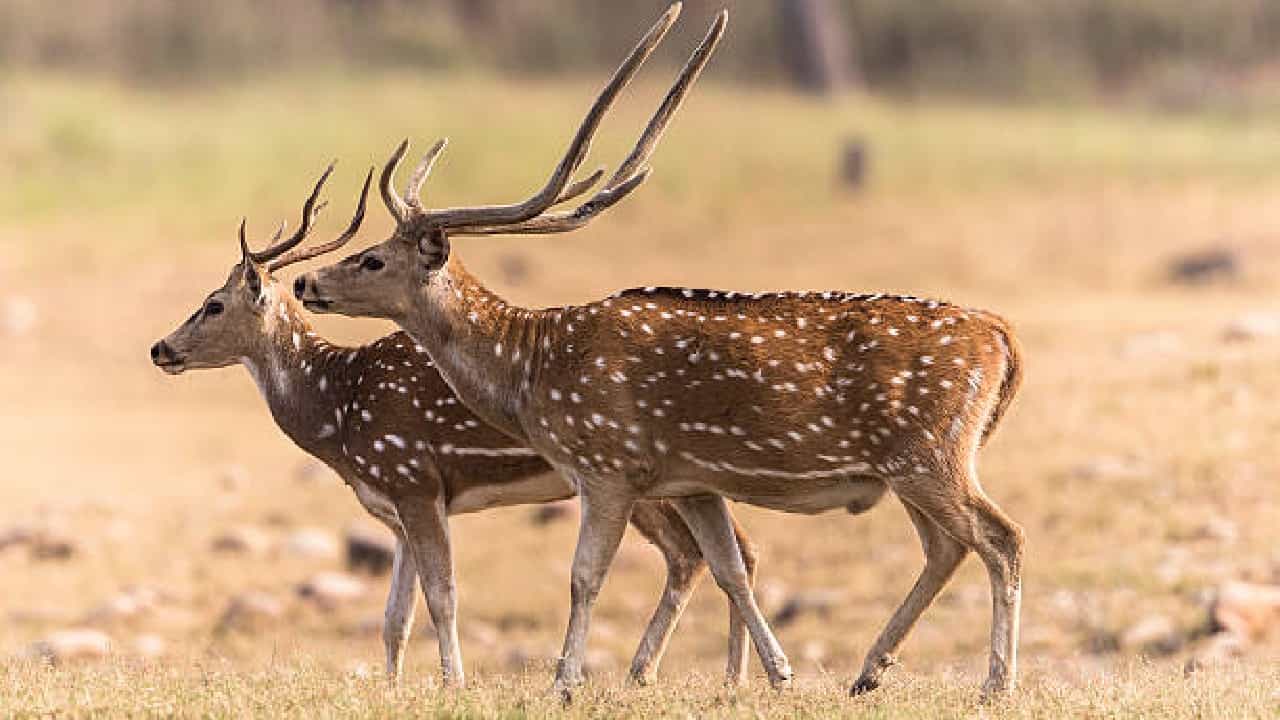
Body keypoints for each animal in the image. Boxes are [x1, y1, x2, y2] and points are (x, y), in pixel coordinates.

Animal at [148, 59, 765, 687]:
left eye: (213, 304)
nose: (160, 348)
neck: (339, 415)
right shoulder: (396, 510)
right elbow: (394, 617)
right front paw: (394, 689)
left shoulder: (414, 478)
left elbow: (442, 597)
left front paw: (453, 683)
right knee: (727, 549)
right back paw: (718, 677)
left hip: (630, 475)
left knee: (697, 553)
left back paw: (684, 674)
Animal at [294, 3, 1025, 699]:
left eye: (371, 258)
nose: (306, 282)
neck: (531, 371)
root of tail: (1002, 337)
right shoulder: (694, 479)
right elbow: (730, 567)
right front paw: (779, 674)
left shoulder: (606, 465)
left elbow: (585, 575)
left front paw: (565, 681)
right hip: (919, 466)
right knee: (946, 547)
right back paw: (868, 671)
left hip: (929, 454)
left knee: (1000, 538)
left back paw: (995, 681)